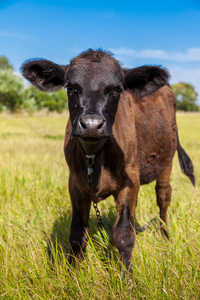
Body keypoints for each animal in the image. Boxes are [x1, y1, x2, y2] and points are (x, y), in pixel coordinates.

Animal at [21, 48, 195, 272]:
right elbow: (77, 233)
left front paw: (127, 277)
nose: (92, 124)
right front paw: (73, 273)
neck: (95, 156)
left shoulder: (130, 178)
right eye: (70, 87)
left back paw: (165, 237)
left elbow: (124, 234)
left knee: (163, 197)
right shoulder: (75, 183)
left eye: (117, 89)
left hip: (167, 161)